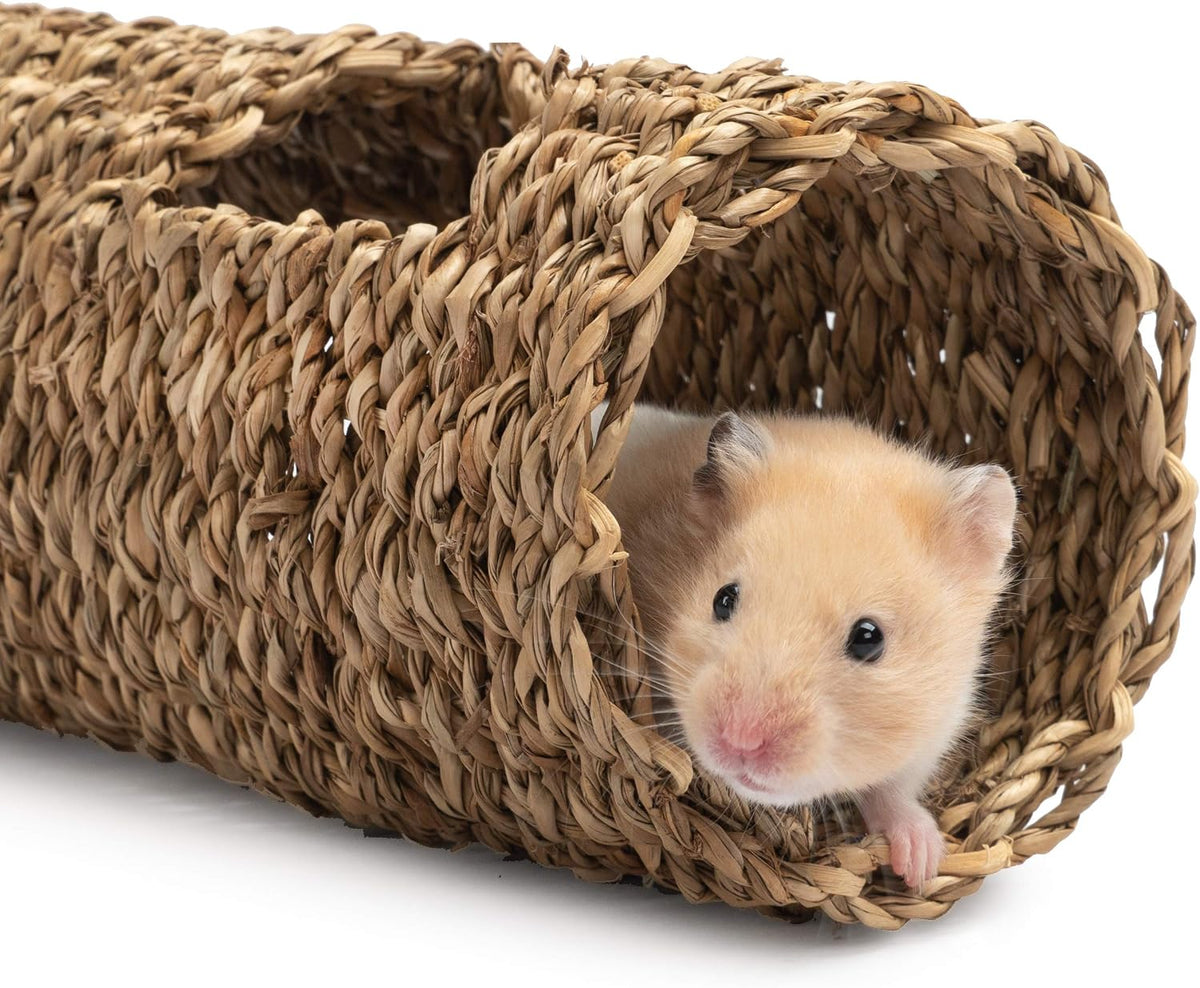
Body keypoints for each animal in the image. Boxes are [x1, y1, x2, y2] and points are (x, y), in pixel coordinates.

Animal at [591, 401, 1018, 889]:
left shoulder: (939, 724)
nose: (739, 742)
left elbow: (893, 790)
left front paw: (920, 865)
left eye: (869, 638)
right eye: (723, 599)